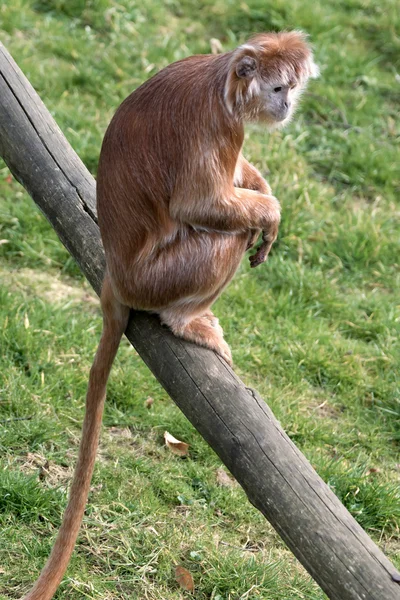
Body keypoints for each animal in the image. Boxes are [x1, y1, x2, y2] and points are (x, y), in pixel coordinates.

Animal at [21, 32, 318, 600]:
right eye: (278, 88)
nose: (287, 105)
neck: (223, 83)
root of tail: (117, 276)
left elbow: (237, 180)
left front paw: (263, 189)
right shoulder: (216, 124)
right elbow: (200, 202)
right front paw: (269, 213)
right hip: (164, 277)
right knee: (226, 232)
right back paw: (188, 319)